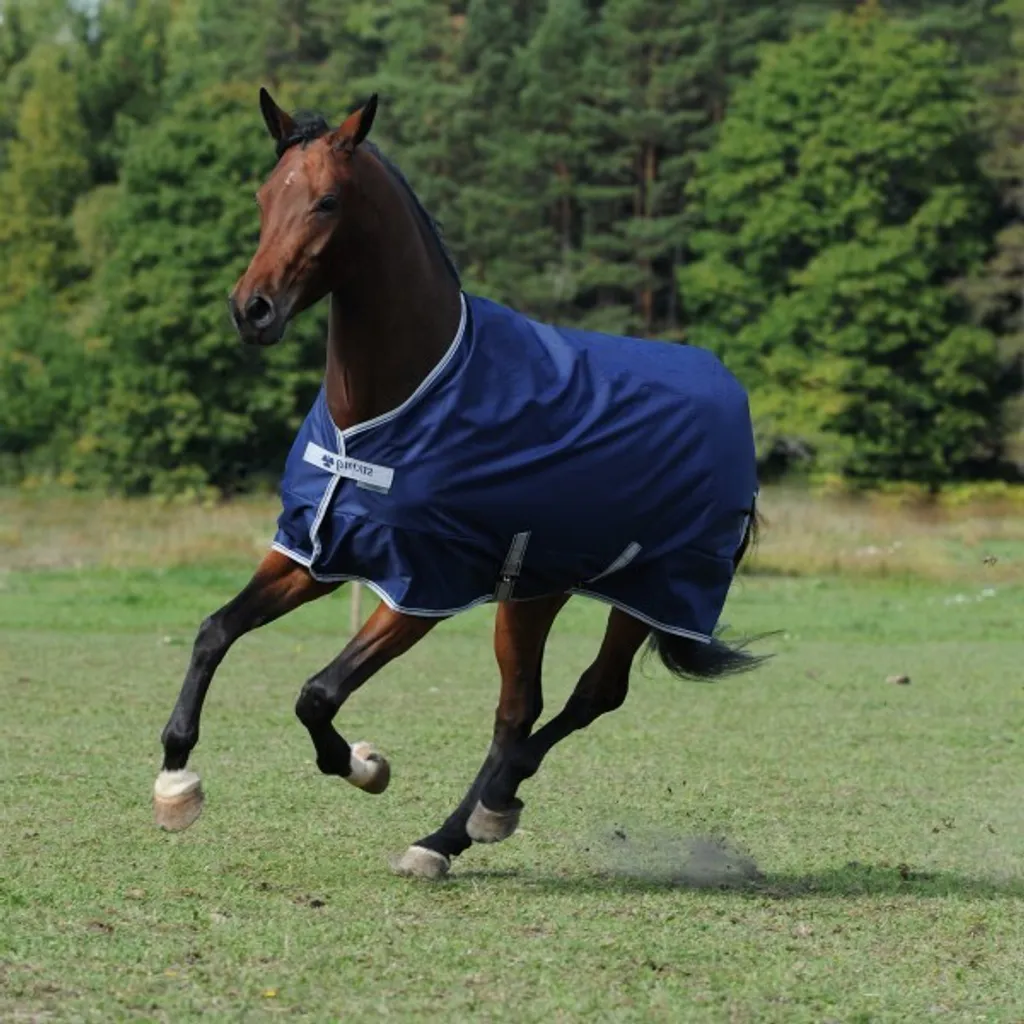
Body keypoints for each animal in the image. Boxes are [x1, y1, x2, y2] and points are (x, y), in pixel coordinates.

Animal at [153, 89, 765, 880]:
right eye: (264, 196)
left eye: (326, 201)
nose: (251, 310)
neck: (391, 405)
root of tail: (729, 389)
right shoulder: (315, 552)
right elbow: (214, 631)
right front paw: (175, 780)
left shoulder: (422, 589)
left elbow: (316, 694)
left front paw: (365, 765)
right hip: (536, 591)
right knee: (519, 707)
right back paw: (454, 831)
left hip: (650, 590)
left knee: (590, 695)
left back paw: (481, 813)